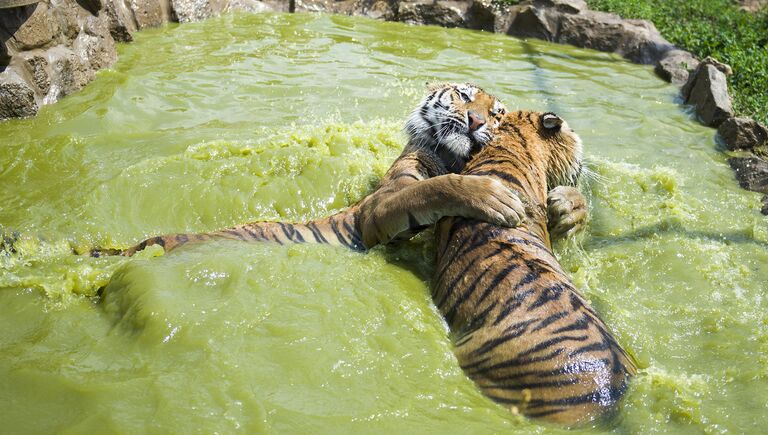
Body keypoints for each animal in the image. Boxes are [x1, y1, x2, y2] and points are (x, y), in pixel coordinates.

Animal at [94, 83, 588, 258]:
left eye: (498, 113)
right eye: (465, 97)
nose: (477, 121)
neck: (452, 156)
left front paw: (569, 209)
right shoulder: (379, 207)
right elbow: (433, 188)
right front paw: (490, 195)